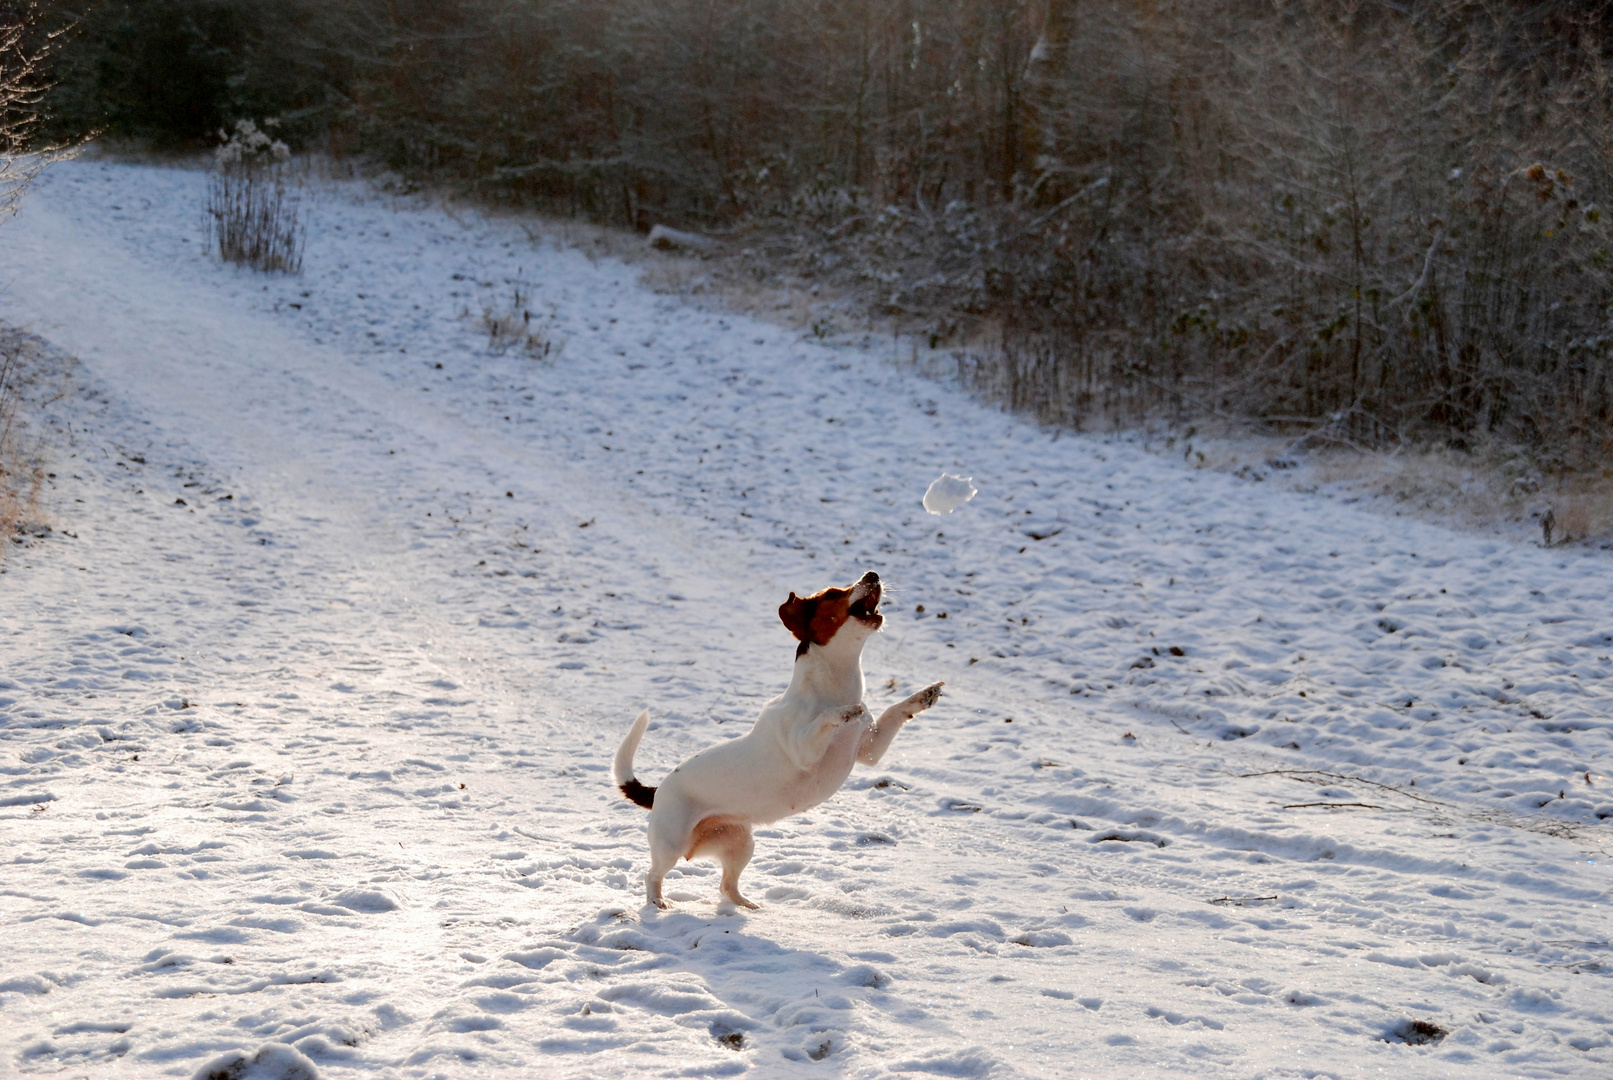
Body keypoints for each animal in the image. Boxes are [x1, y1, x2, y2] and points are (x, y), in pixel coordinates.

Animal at [616, 570, 941, 909]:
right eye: (832, 593)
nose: (872, 574)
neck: (832, 688)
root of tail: (657, 791)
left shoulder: (870, 749)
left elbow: (893, 712)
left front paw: (923, 696)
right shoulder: (804, 751)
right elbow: (826, 719)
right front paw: (846, 711)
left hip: (741, 842)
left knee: (726, 886)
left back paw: (748, 907)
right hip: (672, 844)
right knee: (651, 874)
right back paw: (657, 902)